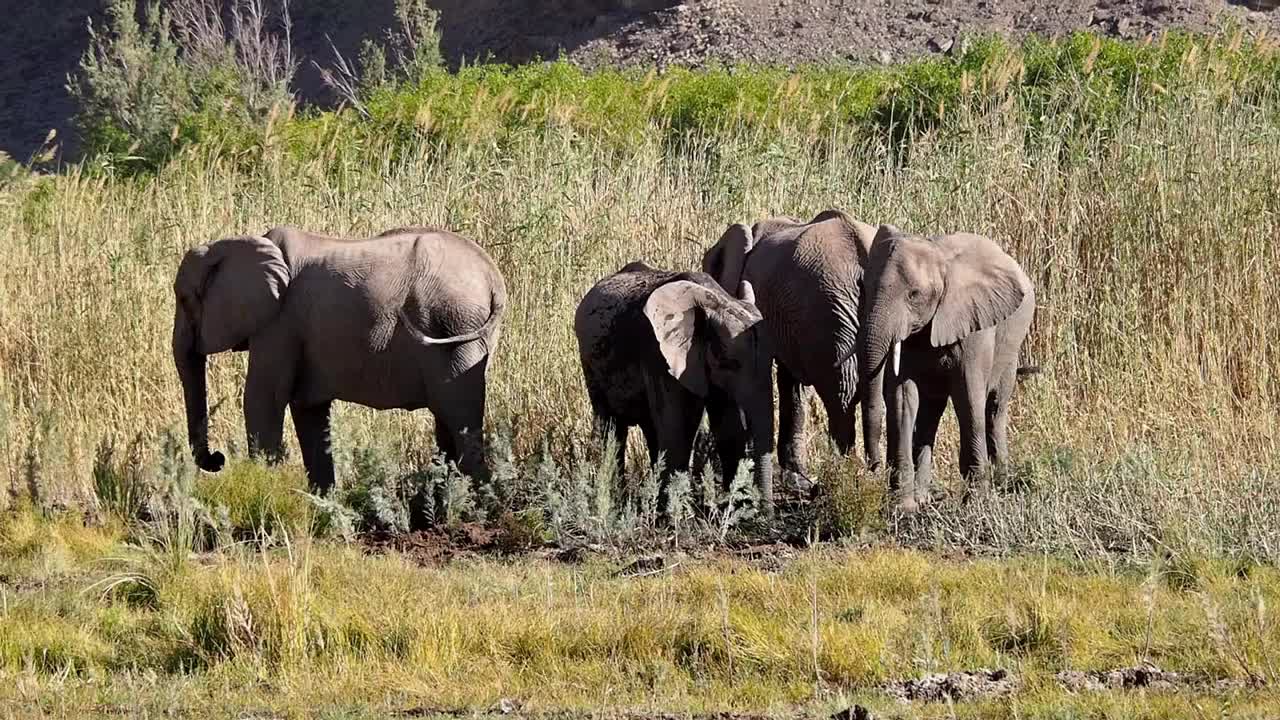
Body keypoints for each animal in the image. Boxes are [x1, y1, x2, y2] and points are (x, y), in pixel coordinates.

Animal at [172, 224, 501, 491]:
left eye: (184, 299)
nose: (218, 459)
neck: (238, 243)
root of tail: (492, 275)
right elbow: (308, 409)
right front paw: (322, 505)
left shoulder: (279, 322)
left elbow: (263, 398)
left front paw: (263, 486)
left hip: (456, 323)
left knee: (459, 416)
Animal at [573, 263, 773, 515]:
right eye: (731, 362)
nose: (765, 515)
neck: (715, 300)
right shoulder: (658, 354)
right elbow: (678, 427)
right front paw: (679, 516)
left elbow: (728, 429)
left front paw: (735, 511)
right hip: (591, 364)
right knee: (612, 427)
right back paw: (617, 500)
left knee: (651, 429)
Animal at [839, 224, 1039, 509]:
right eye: (863, 287)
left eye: (913, 295)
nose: (873, 467)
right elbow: (901, 398)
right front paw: (903, 506)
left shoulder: (973, 325)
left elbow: (969, 397)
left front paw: (975, 502)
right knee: (930, 413)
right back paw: (923, 498)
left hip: (1012, 344)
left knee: (994, 408)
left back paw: (1002, 485)